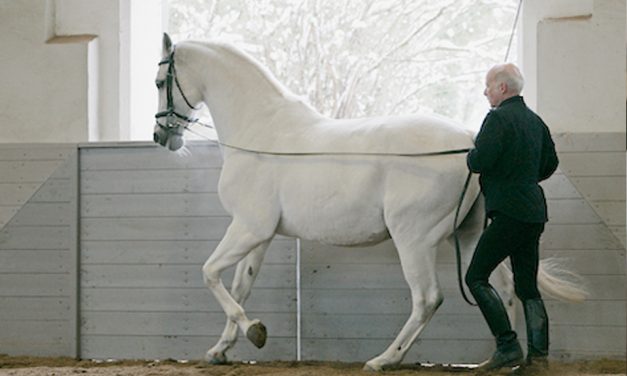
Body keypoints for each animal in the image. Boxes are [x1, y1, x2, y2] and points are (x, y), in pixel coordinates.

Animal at [155, 33, 588, 370]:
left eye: (161, 80)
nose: (162, 136)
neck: (261, 133)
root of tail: (469, 141)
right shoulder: (260, 235)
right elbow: (240, 286)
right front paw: (221, 349)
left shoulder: (248, 228)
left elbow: (210, 273)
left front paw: (254, 332)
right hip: (468, 236)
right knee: (505, 287)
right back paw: (501, 358)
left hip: (414, 239)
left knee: (428, 298)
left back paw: (385, 359)